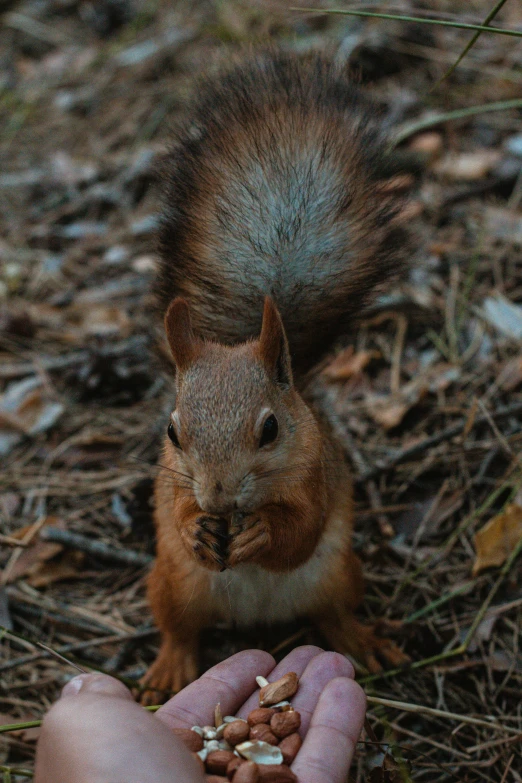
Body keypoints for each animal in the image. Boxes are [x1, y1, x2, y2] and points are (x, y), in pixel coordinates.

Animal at [142, 49, 410, 700]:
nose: (216, 496)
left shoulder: (315, 476)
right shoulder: (172, 485)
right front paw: (197, 527)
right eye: (173, 432)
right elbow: (176, 514)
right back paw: (169, 669)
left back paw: (365, 642)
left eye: (270, 430)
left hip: (341, 572)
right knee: (178, 628)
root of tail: (254, 620)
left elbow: (299, 531)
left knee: (334, 614)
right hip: (169, 583)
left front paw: (263, 533)